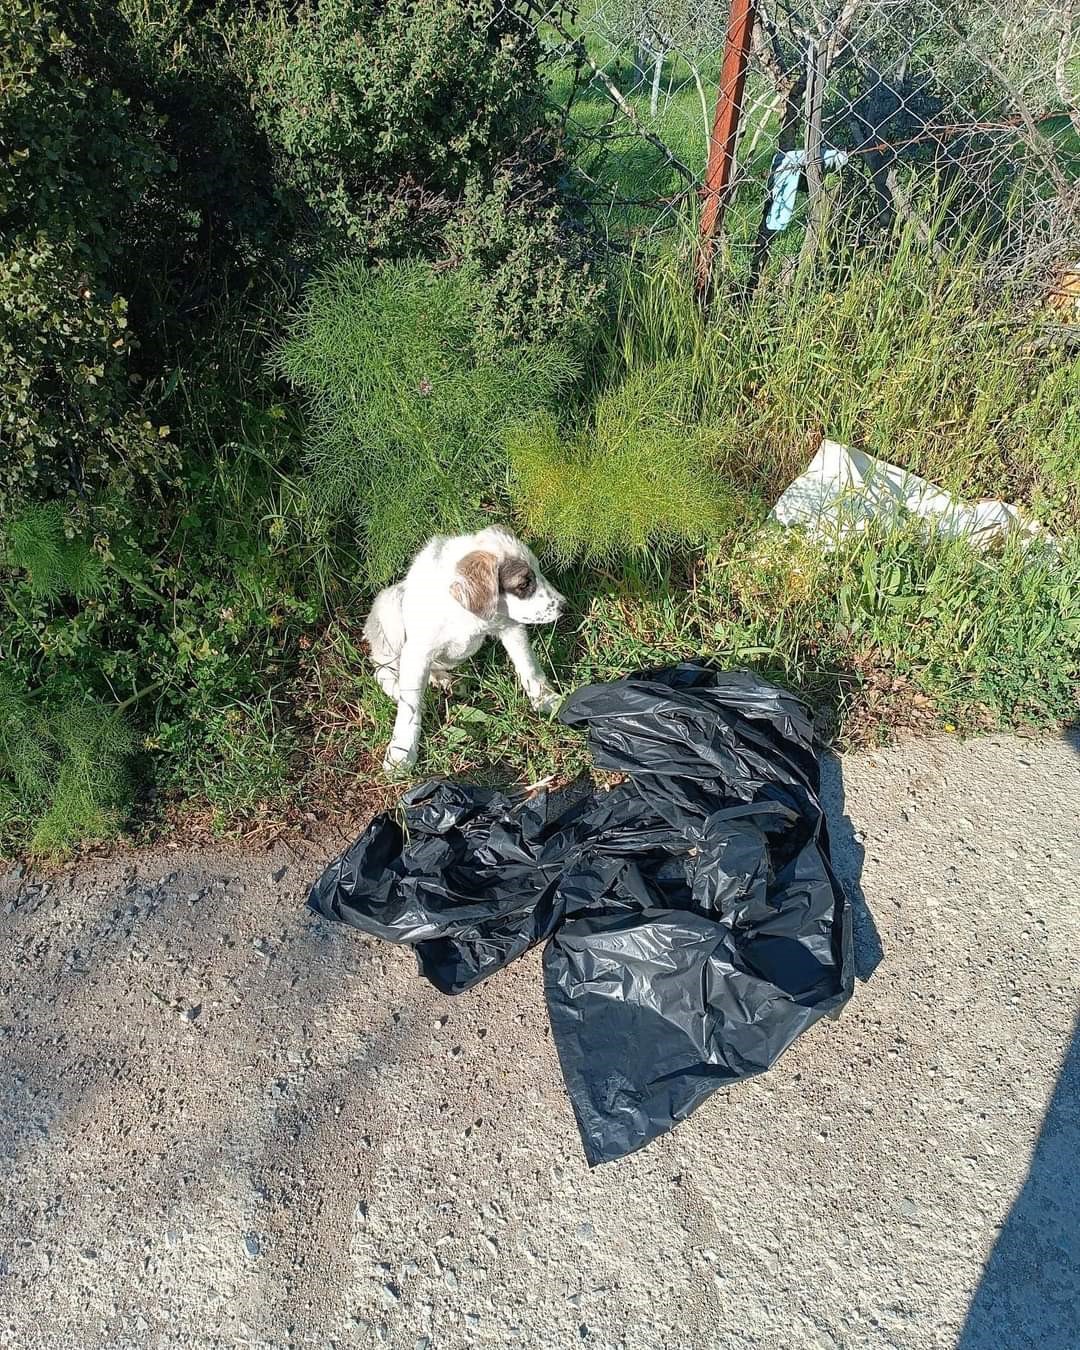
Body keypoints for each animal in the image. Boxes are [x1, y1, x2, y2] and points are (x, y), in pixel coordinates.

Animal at [361, 529, 564, 783]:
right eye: (525, 583)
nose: (564, 606)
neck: (464, 612)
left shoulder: (510, 626)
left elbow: (529, 666)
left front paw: (546, 699)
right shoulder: (417, 652)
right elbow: (410, 708)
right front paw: (401, 753)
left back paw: (440, 678)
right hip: (391, 609)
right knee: (382, 668)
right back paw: (398, 689)